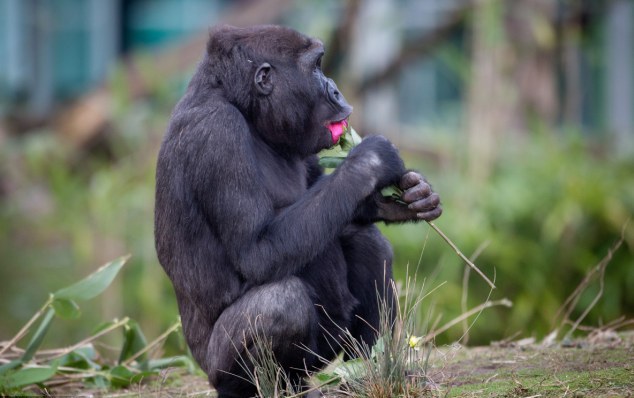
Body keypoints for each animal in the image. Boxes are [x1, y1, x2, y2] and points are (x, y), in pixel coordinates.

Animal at [154, 25, 440, 398]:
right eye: (316, 66)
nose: (334, 87)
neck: (242, 107)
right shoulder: (218, 133)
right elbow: (256, 252)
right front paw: (373, 161)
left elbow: (334, 197)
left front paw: (406, 196)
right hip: (216, 370)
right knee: (282, 303)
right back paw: (269, 388)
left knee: (365, 241)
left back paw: (367, 369)